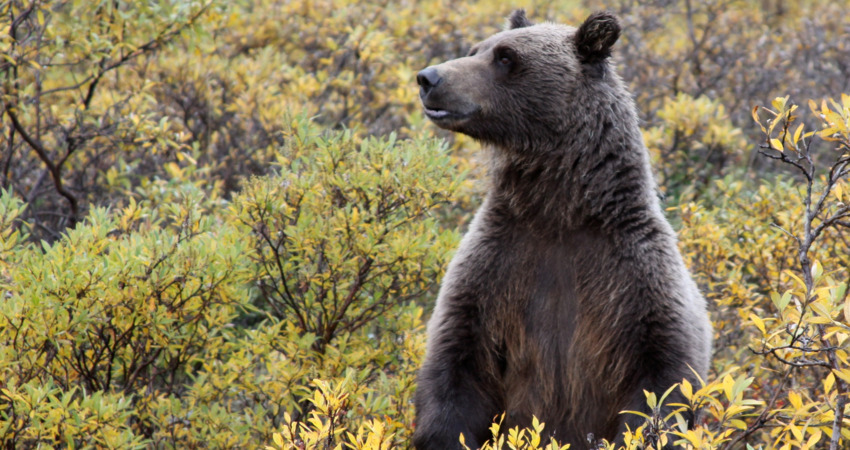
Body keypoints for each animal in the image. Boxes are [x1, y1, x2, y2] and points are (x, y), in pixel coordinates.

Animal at [410, 10, 708, 450]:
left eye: (505, 57)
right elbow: (456, 369)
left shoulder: (634, 279)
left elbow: (661, 385)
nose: (429, 78)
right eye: (476, 49)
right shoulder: (496, 267)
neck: (559, 212)